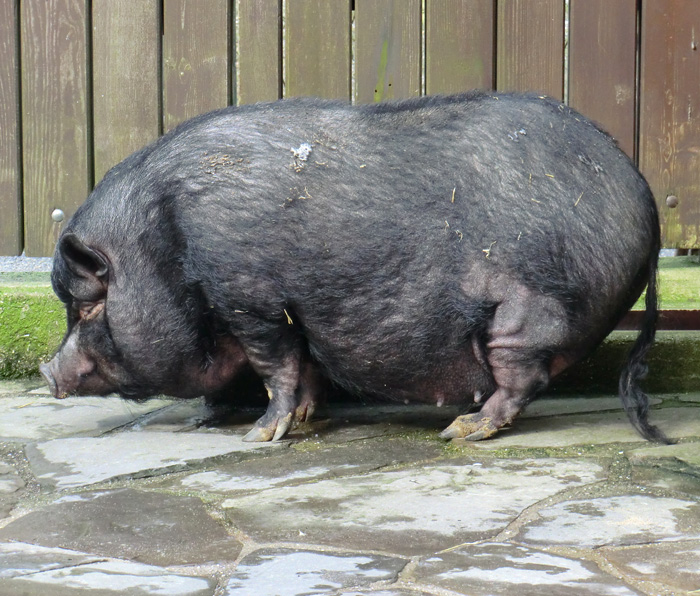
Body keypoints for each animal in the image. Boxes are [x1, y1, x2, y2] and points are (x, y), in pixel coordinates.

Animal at [41, 93, 668, 442]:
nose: (47, 372)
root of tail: (644, 193)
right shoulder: (294, 314)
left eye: (88, 305)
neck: (164, 245)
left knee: (522, 379)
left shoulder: (250, 299)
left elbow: (275, 365)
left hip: (527, 311)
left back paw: (461, 431)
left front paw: (258, 436)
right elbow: (305, 364)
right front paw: (306, 417)